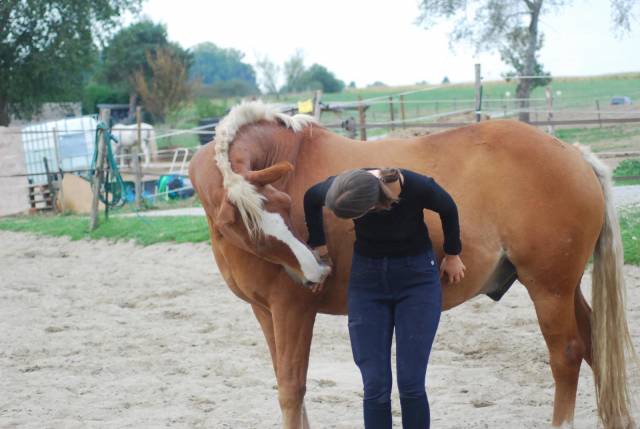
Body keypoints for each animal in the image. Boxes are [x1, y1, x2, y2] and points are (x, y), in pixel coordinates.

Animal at [188, 101, 637, 429]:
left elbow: (292, 387)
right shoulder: (264, 312)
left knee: (567, 354)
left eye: (285, 206)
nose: (317, 271)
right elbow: (287, 385)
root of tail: (573, 154)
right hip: (563, 287)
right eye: (252, 229)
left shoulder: (292, 310)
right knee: (594, 345)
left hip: (548, 289)